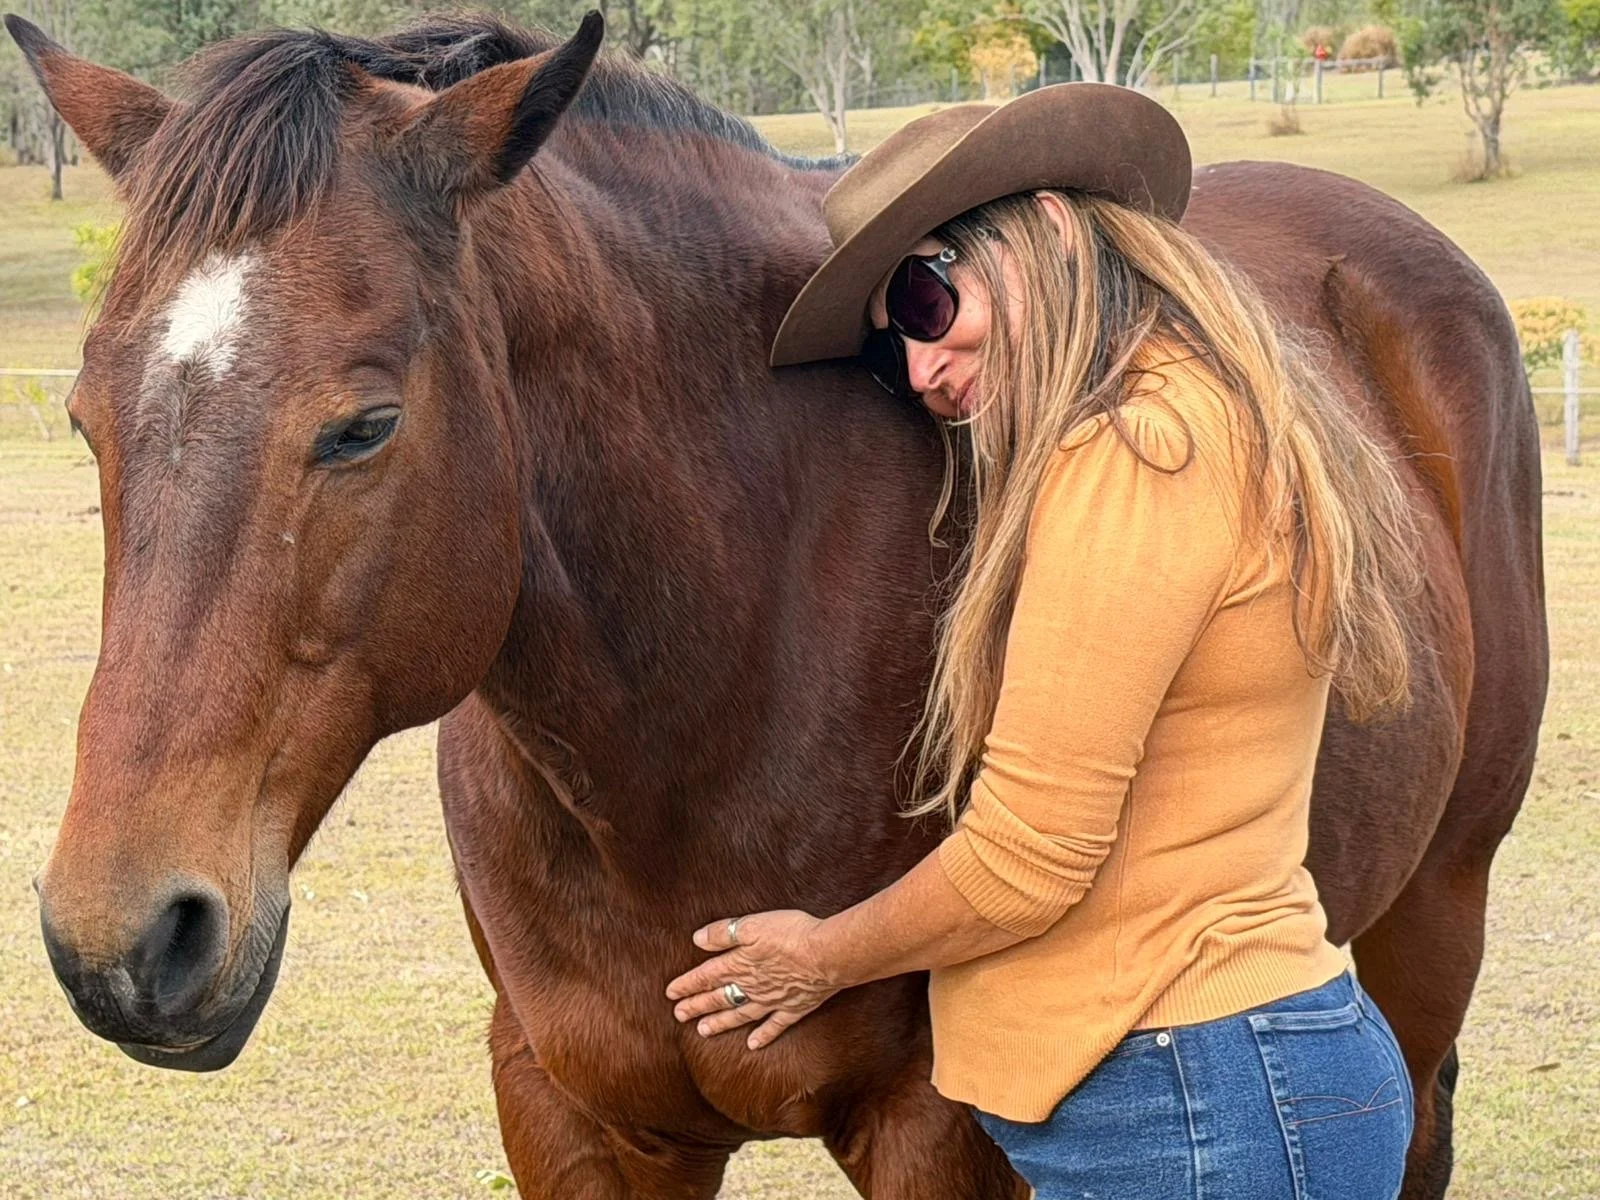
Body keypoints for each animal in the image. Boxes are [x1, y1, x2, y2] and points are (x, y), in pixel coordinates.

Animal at [7, 11, 1546, 1198]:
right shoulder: (575, 1116)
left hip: (1430, 924)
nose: (123, 943)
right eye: (84, 419)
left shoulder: (943, 1134)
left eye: (364, 425)